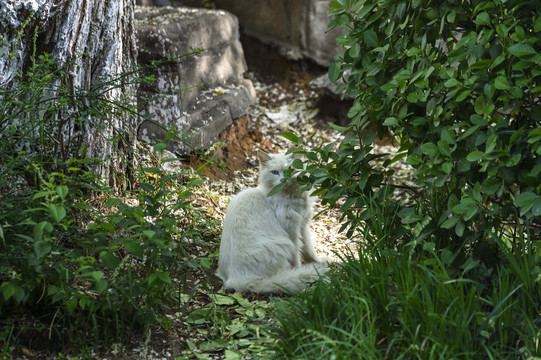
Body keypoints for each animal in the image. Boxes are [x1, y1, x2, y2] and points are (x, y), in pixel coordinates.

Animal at [216, 150, 330, 294]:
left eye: (290, 170)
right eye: (275, 172)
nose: (283, 180)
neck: (291, 195)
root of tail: (235, 279)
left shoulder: (303, 225)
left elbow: (309, 249)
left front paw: (318, 261)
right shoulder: (292, 230)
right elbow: (297, 256)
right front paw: (299, 269)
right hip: (283, 245)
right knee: (277, 277)